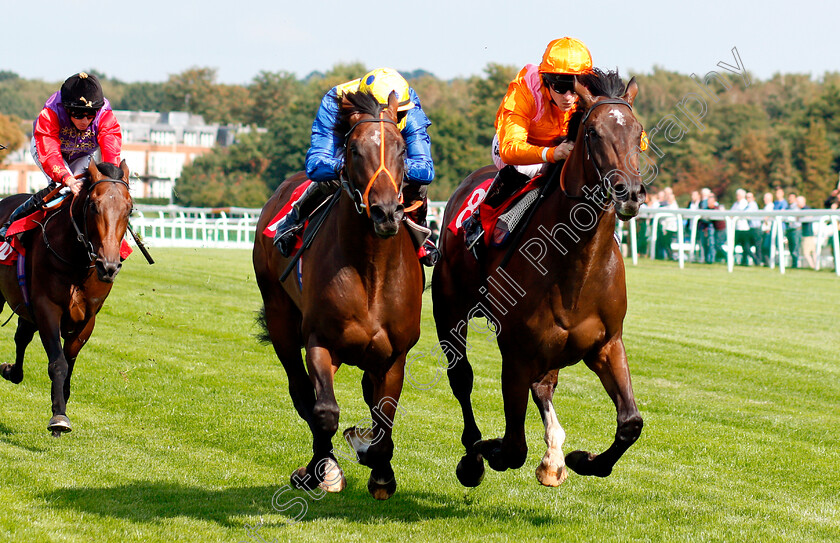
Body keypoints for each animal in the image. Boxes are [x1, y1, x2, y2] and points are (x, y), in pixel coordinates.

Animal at [0, 162, 133, 438]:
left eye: (129, 208)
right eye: (93, 205)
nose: (109, 267)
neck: (77, 261)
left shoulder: (86, 319)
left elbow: (69, 364)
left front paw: (60, 407)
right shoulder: (46, 308)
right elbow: (58, 362)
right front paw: (58, 418)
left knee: (21, 337)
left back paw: (12, 371)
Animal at [248, 89, 420, 502]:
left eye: (402, 149)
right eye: (354, 150)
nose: (386, 212)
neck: (371, 270)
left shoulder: (394, 355)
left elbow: (383, 418)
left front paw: (380, 470)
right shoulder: (320, 341)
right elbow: (324, 411)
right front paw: (321, 471)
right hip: (280, 318)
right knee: (303, 394)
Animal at [430, 70, 648, 490]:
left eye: (638, 131)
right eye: (593, 132)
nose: (628, 192)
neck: (577, 267)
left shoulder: (607, 344)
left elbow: (631, 422)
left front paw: (583, 459)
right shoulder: (515, 353)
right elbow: (513, 446)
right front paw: (486, 450)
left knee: (544, 387)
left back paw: (553, 456)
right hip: (450, 310)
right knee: (461, 378)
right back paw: (473, 456)